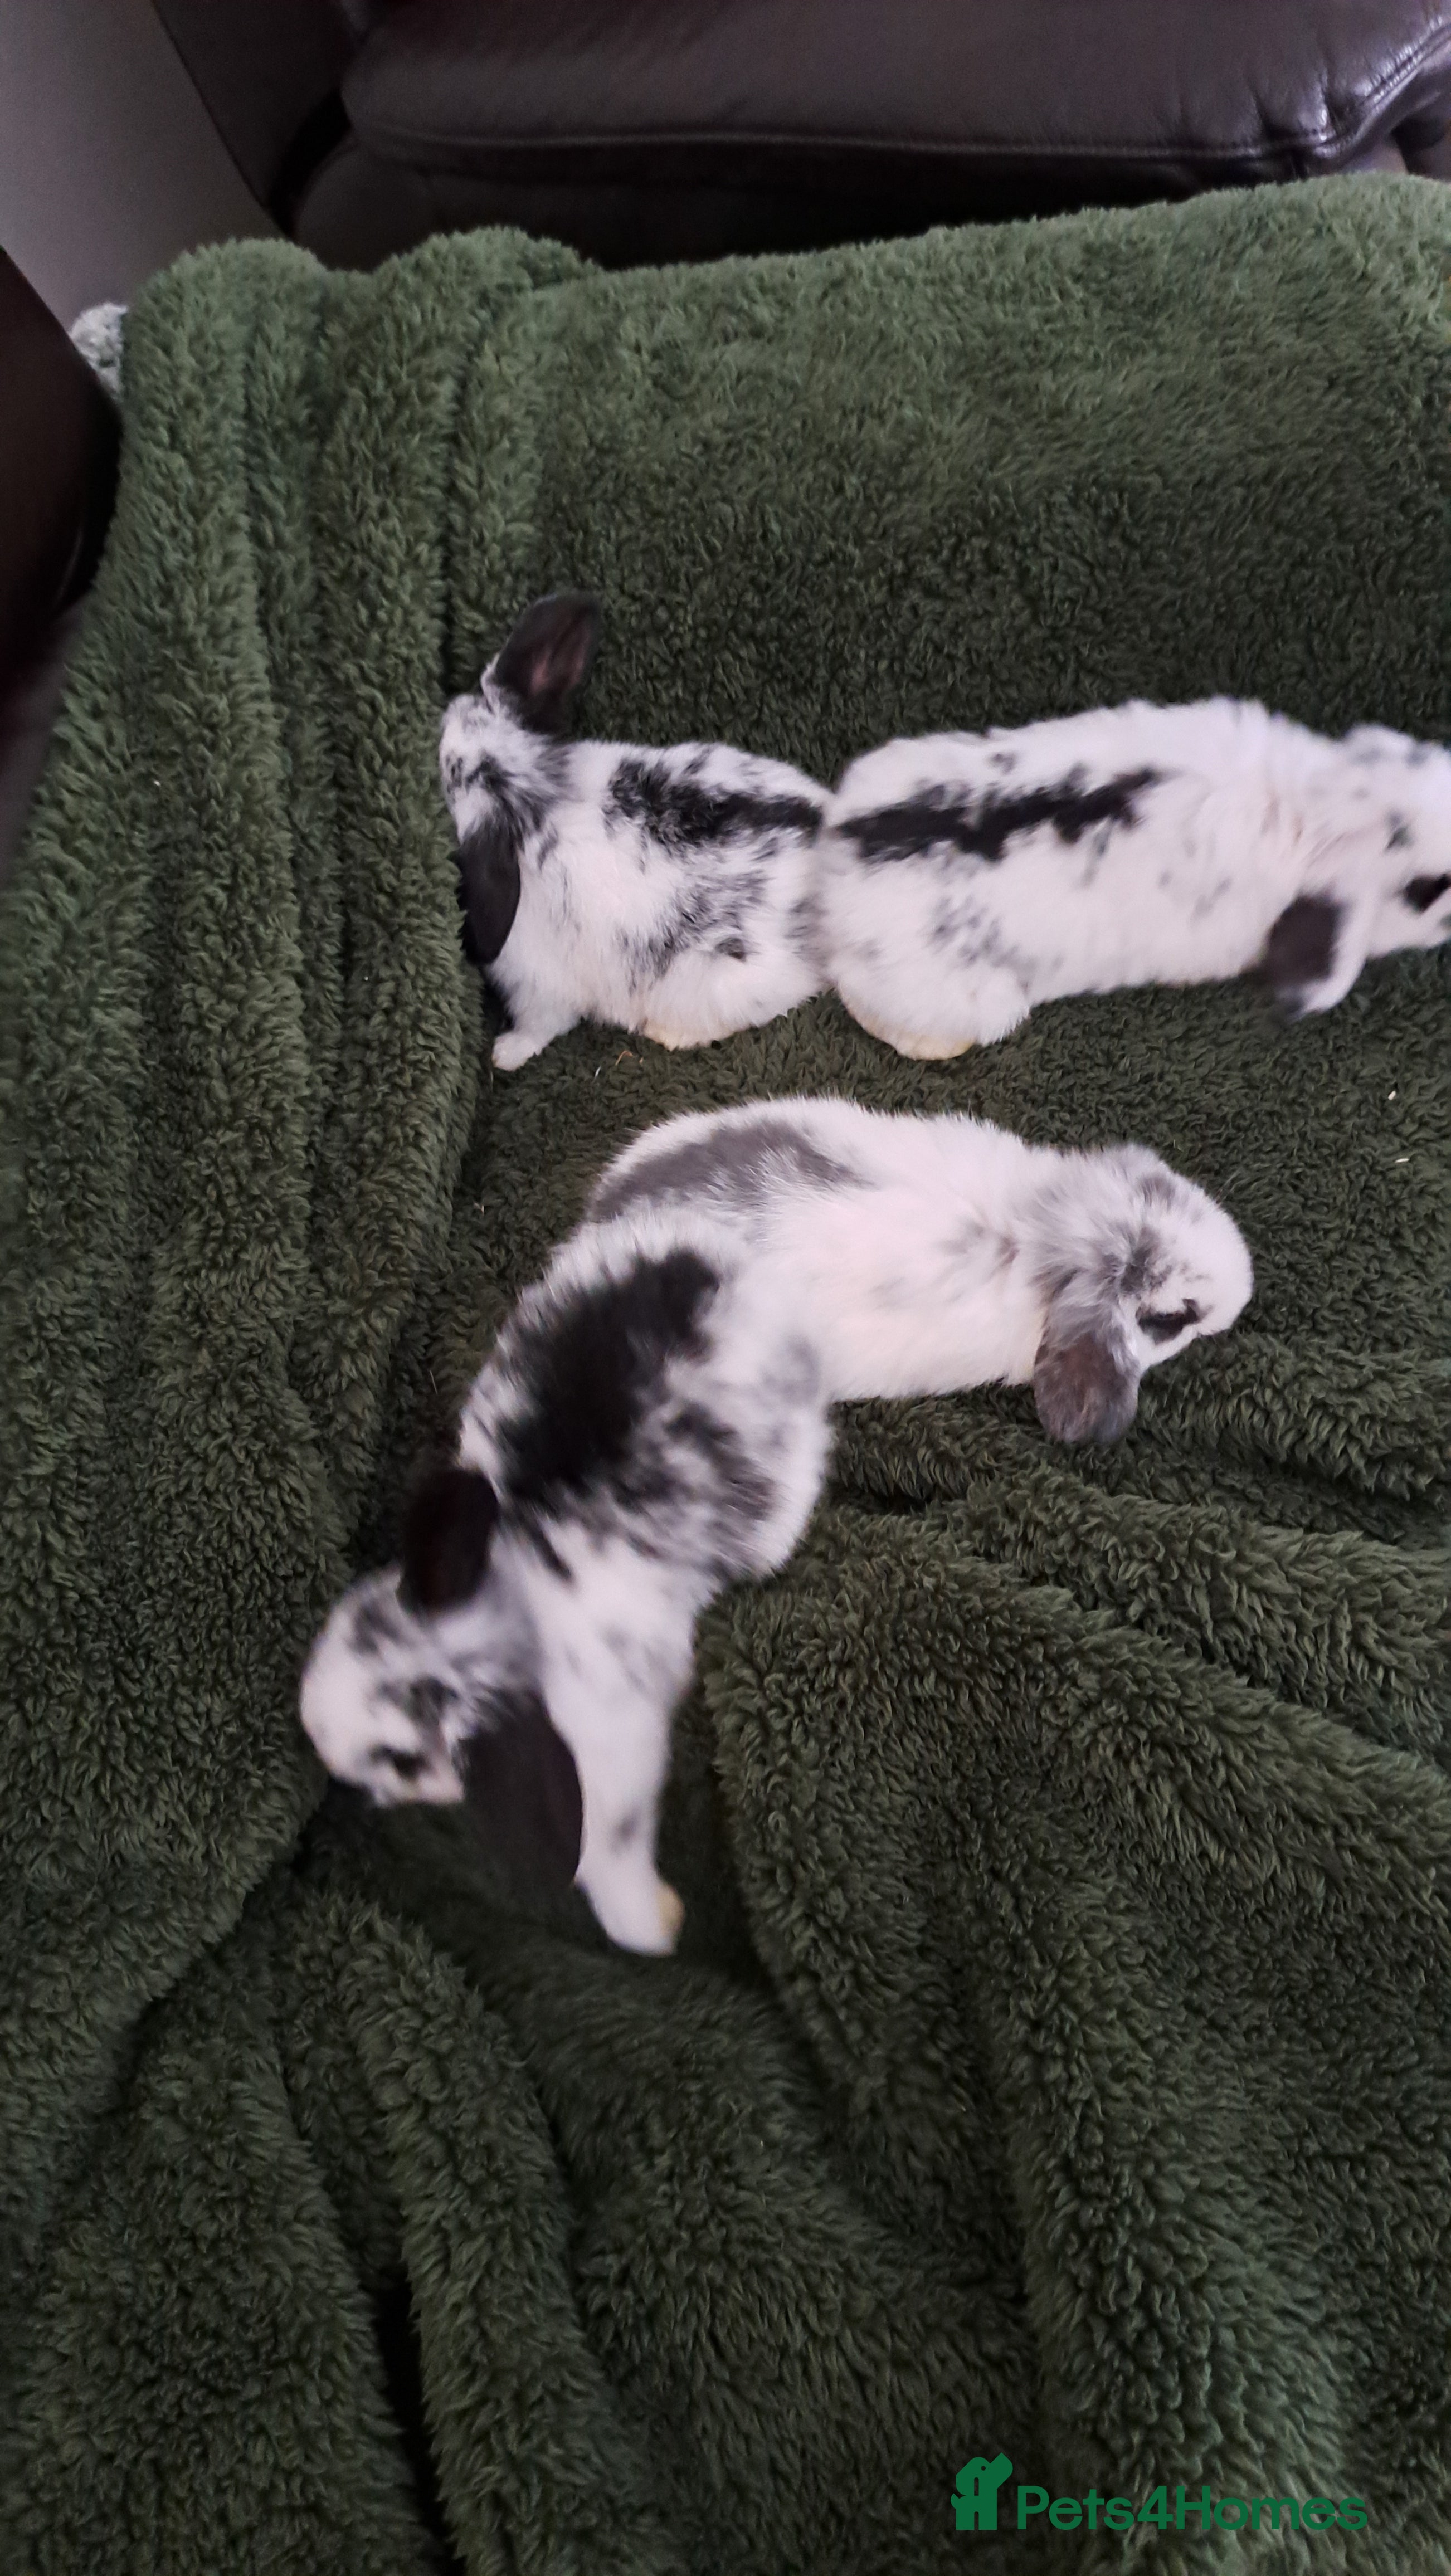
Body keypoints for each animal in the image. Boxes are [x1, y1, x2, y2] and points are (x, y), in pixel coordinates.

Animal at [439, 592, 829, 1070]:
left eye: (451, 774)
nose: (443, 723)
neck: (537, 796)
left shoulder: (541, 989)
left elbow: (540, 1028)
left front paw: (504, 1054)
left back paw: (666, 1033)